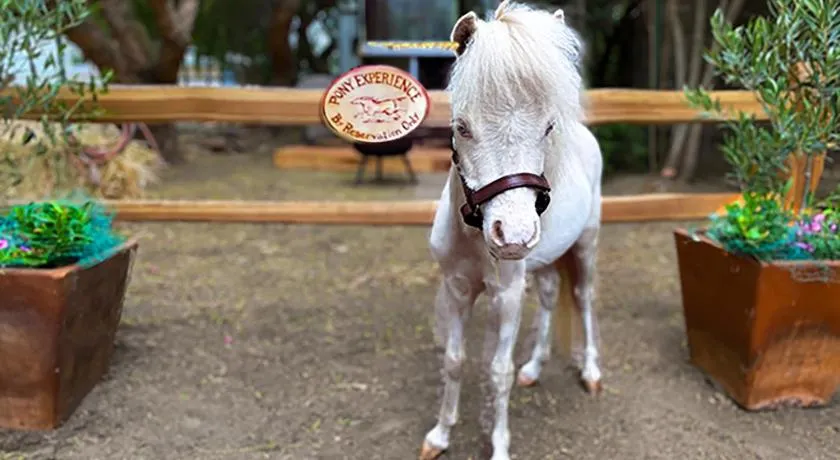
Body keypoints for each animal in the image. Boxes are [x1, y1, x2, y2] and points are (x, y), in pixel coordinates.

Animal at [421, 2, 603, 459]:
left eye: (548, 128)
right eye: (462, 126)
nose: (514, 236)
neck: (474, 238)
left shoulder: (506, 298)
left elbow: (497, 372)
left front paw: (499, 446)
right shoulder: (457, 288)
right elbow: (453, 361)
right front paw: (440, 435)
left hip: (586, 245)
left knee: (583, 298)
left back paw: (591, 372)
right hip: (545, 260)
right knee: (552, 294)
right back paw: (534, 368)